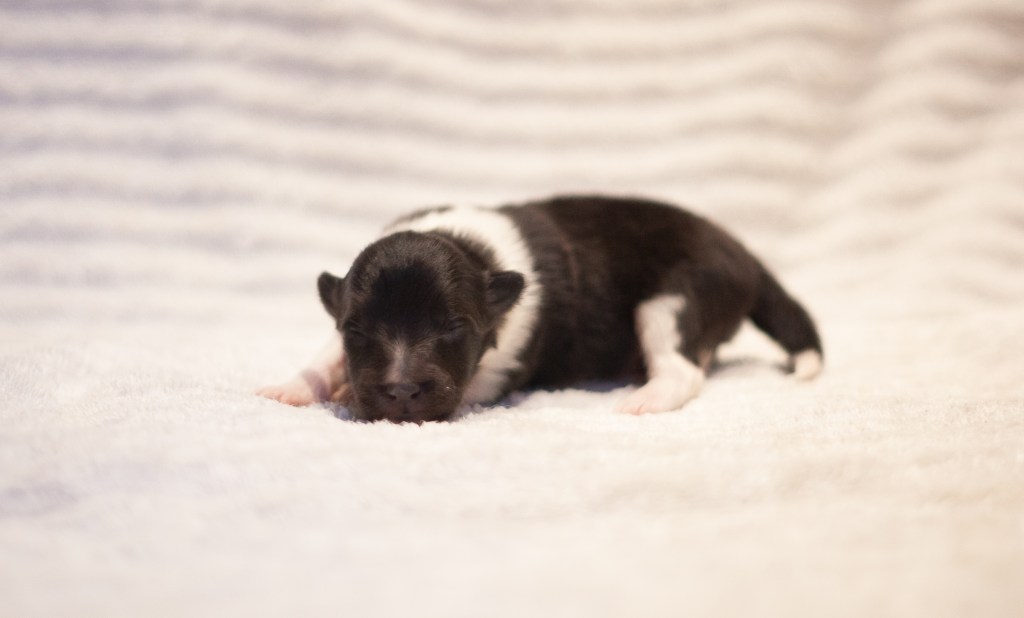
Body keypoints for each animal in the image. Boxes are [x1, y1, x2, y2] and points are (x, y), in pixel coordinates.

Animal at [257, 195, 823, 423]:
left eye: (454, 327)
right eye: (357, 329)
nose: (399, 390)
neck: (473, 249)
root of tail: (745, 255)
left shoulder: (503, 364)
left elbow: (467, 387)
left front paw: (346, 393)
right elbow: (325, 351)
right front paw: (295, 385)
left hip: (672, 302)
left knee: (685, 369)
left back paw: (644, 396)